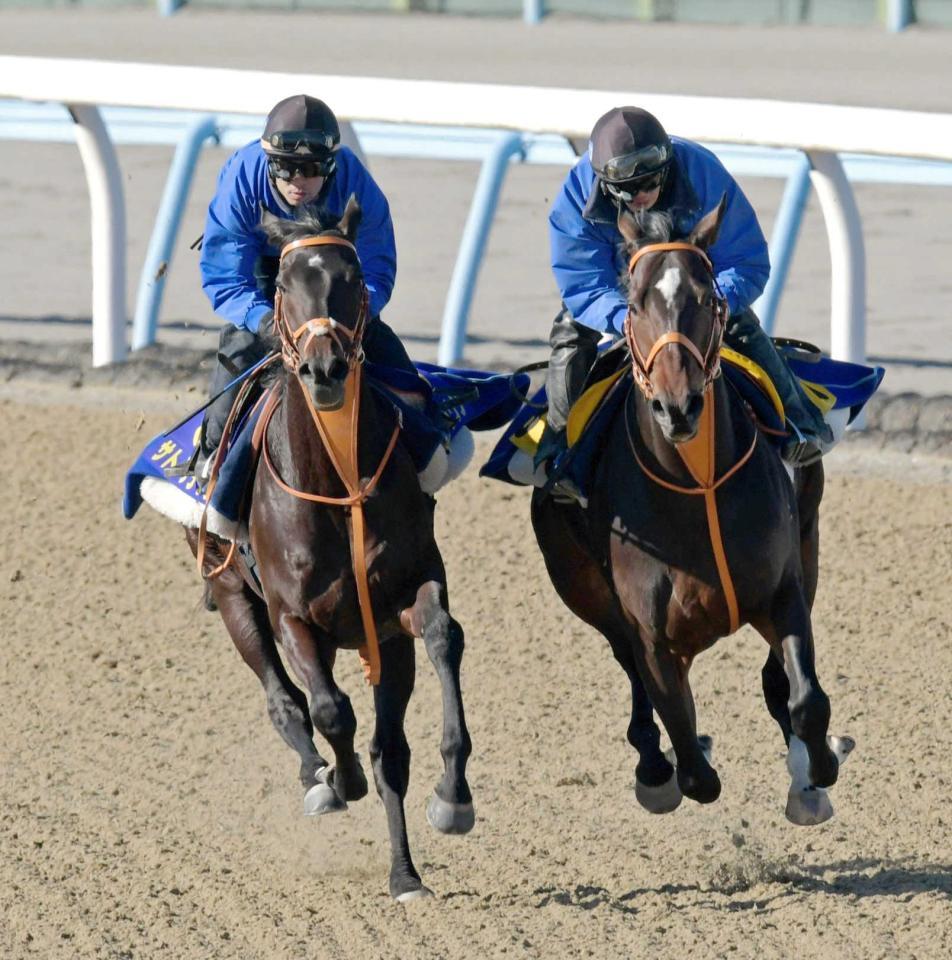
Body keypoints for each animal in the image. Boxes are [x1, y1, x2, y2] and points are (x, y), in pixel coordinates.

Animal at [190, 197, 476, 900]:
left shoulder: (404, 599)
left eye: (352, 279)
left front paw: (452, 796)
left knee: (390, 750)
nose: (325, 368)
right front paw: (338, 778)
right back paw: (319, 778)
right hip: (232, 594)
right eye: (286, 286)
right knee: (286, 701)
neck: (336, 480)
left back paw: (404, 874)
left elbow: (442, 638)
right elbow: (330, 709)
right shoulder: (295, 616)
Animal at [532, 201, 852, 824]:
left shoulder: (783, 587)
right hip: (583, 588)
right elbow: (687, 745)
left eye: (706, 299)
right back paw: (654, 767)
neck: (696, 484)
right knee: (633, 676)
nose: (677, 406)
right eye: (634, 304)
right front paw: (678, 761)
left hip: (810, 538)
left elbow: (805, 699)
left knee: (779, 683)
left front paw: (819, 769)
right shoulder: (651, 634)